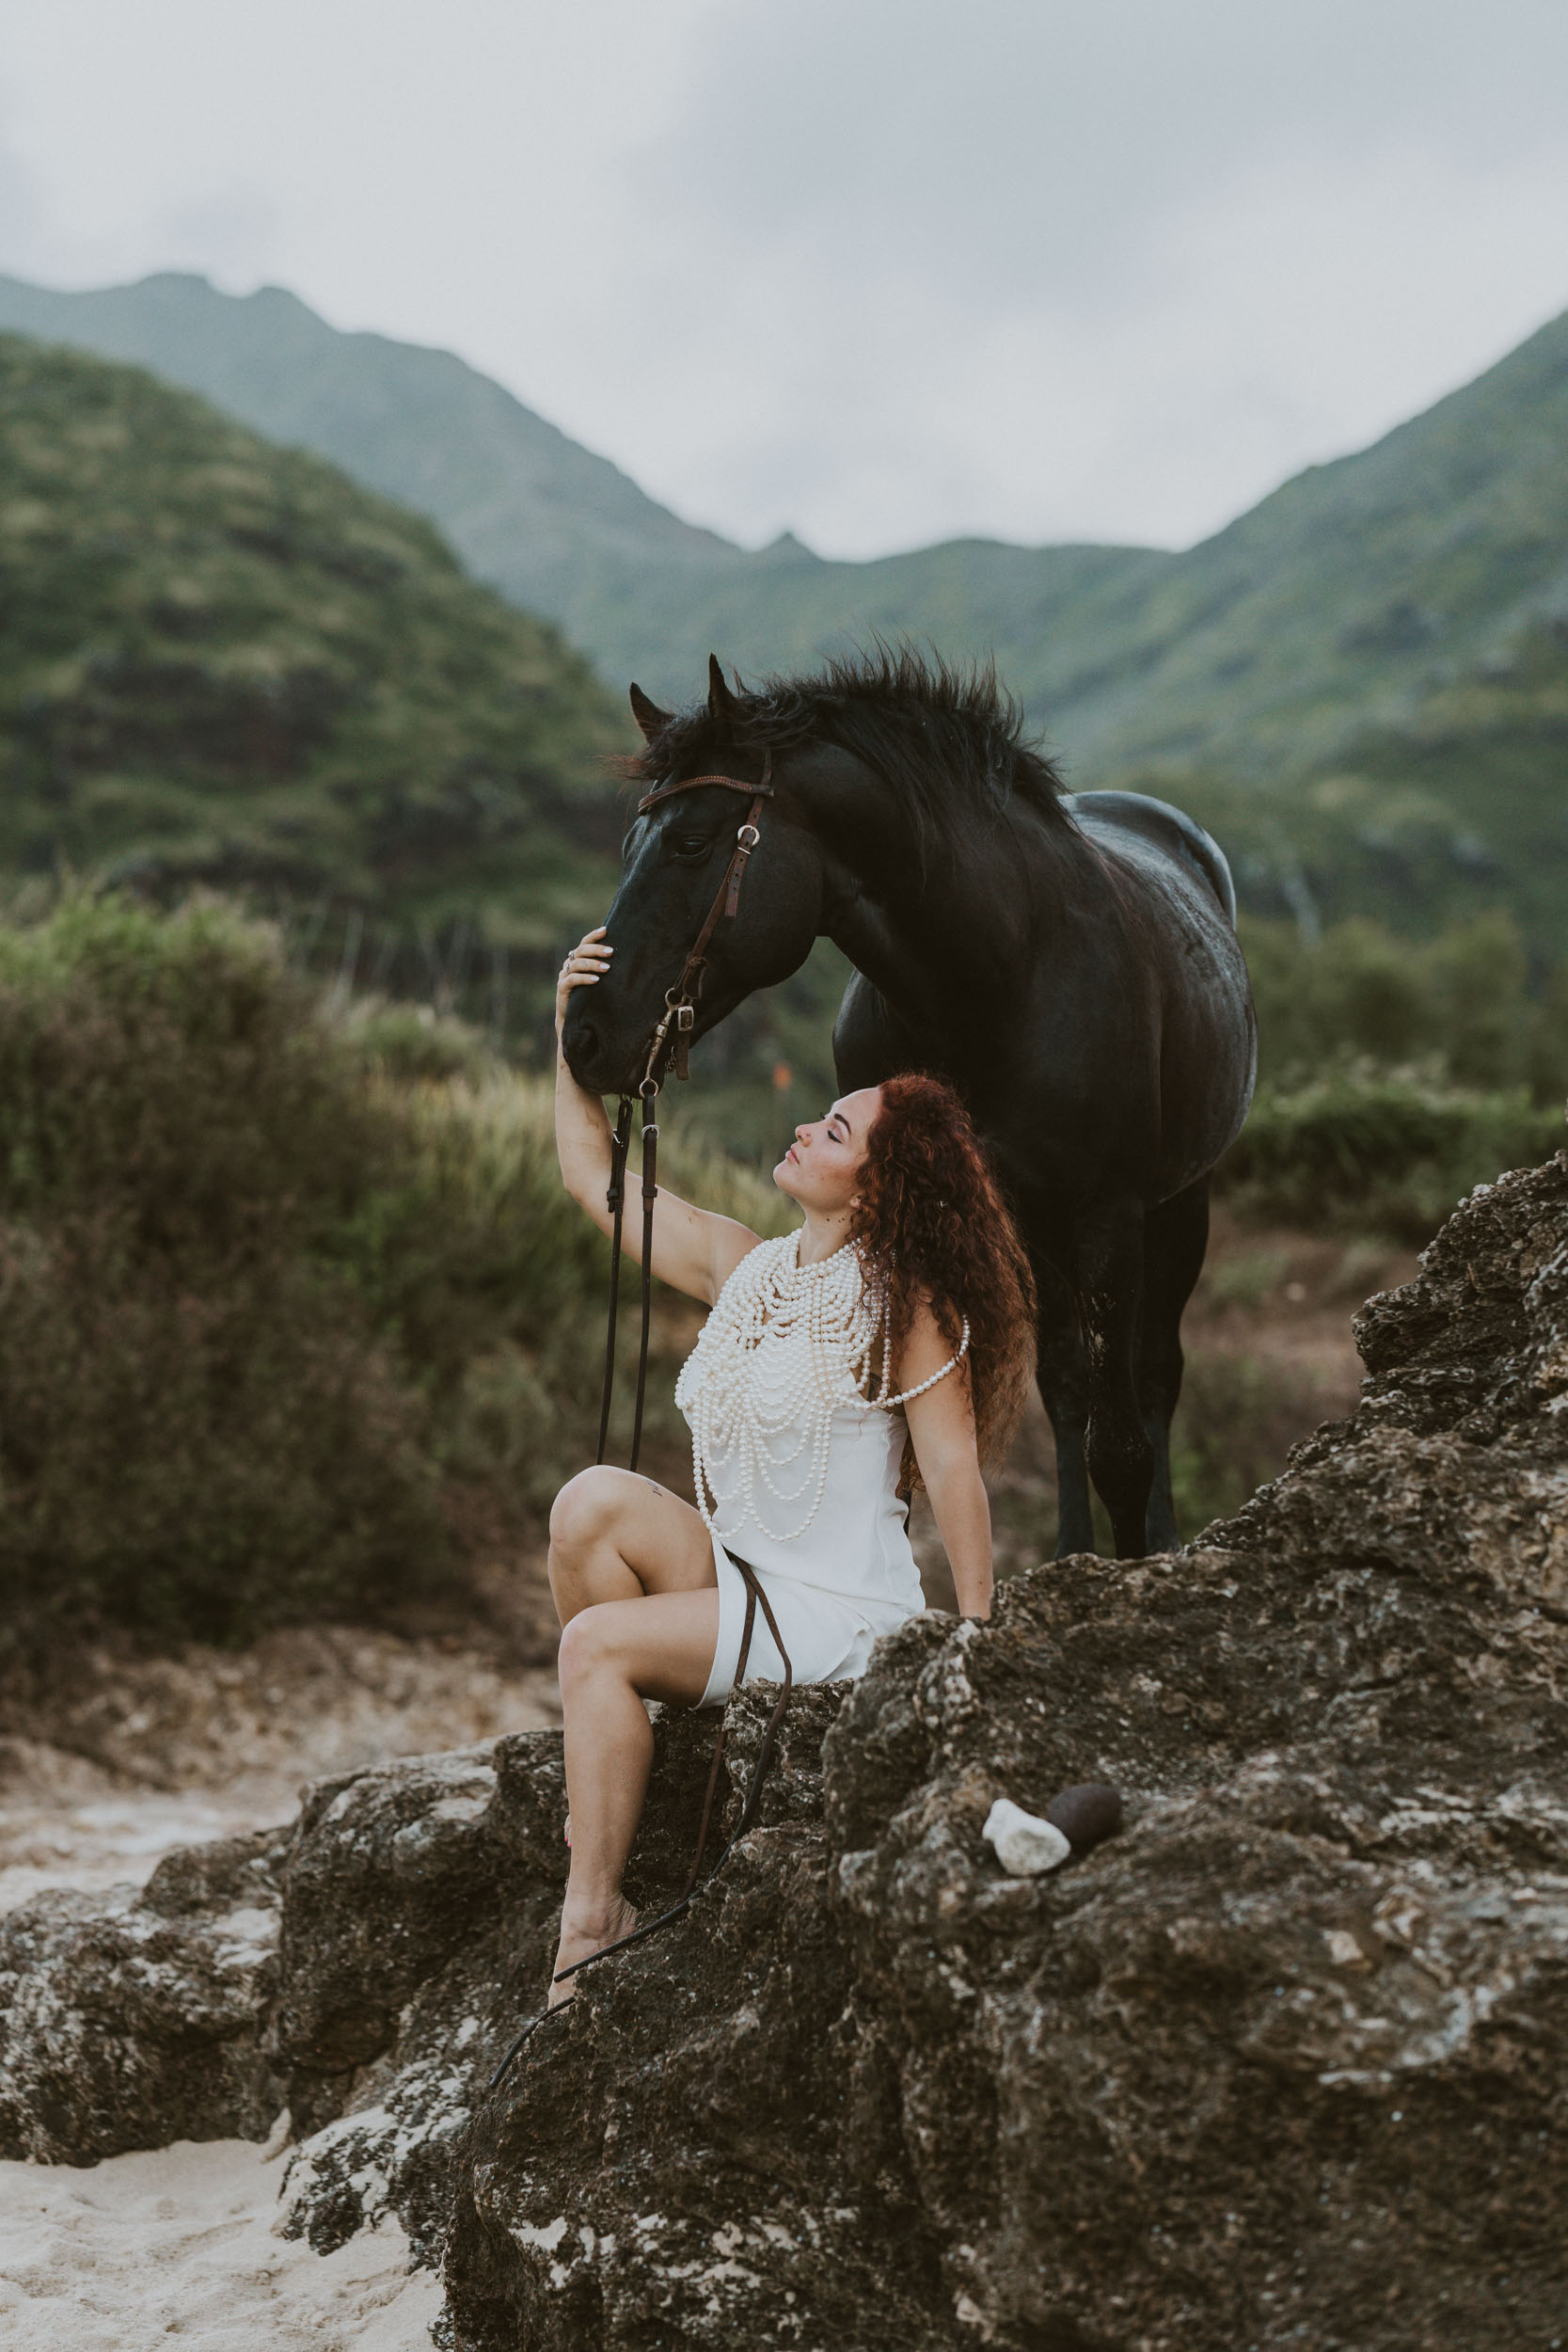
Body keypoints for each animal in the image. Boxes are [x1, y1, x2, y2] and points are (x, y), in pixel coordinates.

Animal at [557, 649, 1259, 1562]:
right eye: (628, 844)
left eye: (690, 842)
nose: (585, 1037)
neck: (1001, 974)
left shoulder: (1110, 1215)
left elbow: (1121, 1443)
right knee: (1067, 1385)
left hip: (1178, 1206)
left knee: (1154, 1380)